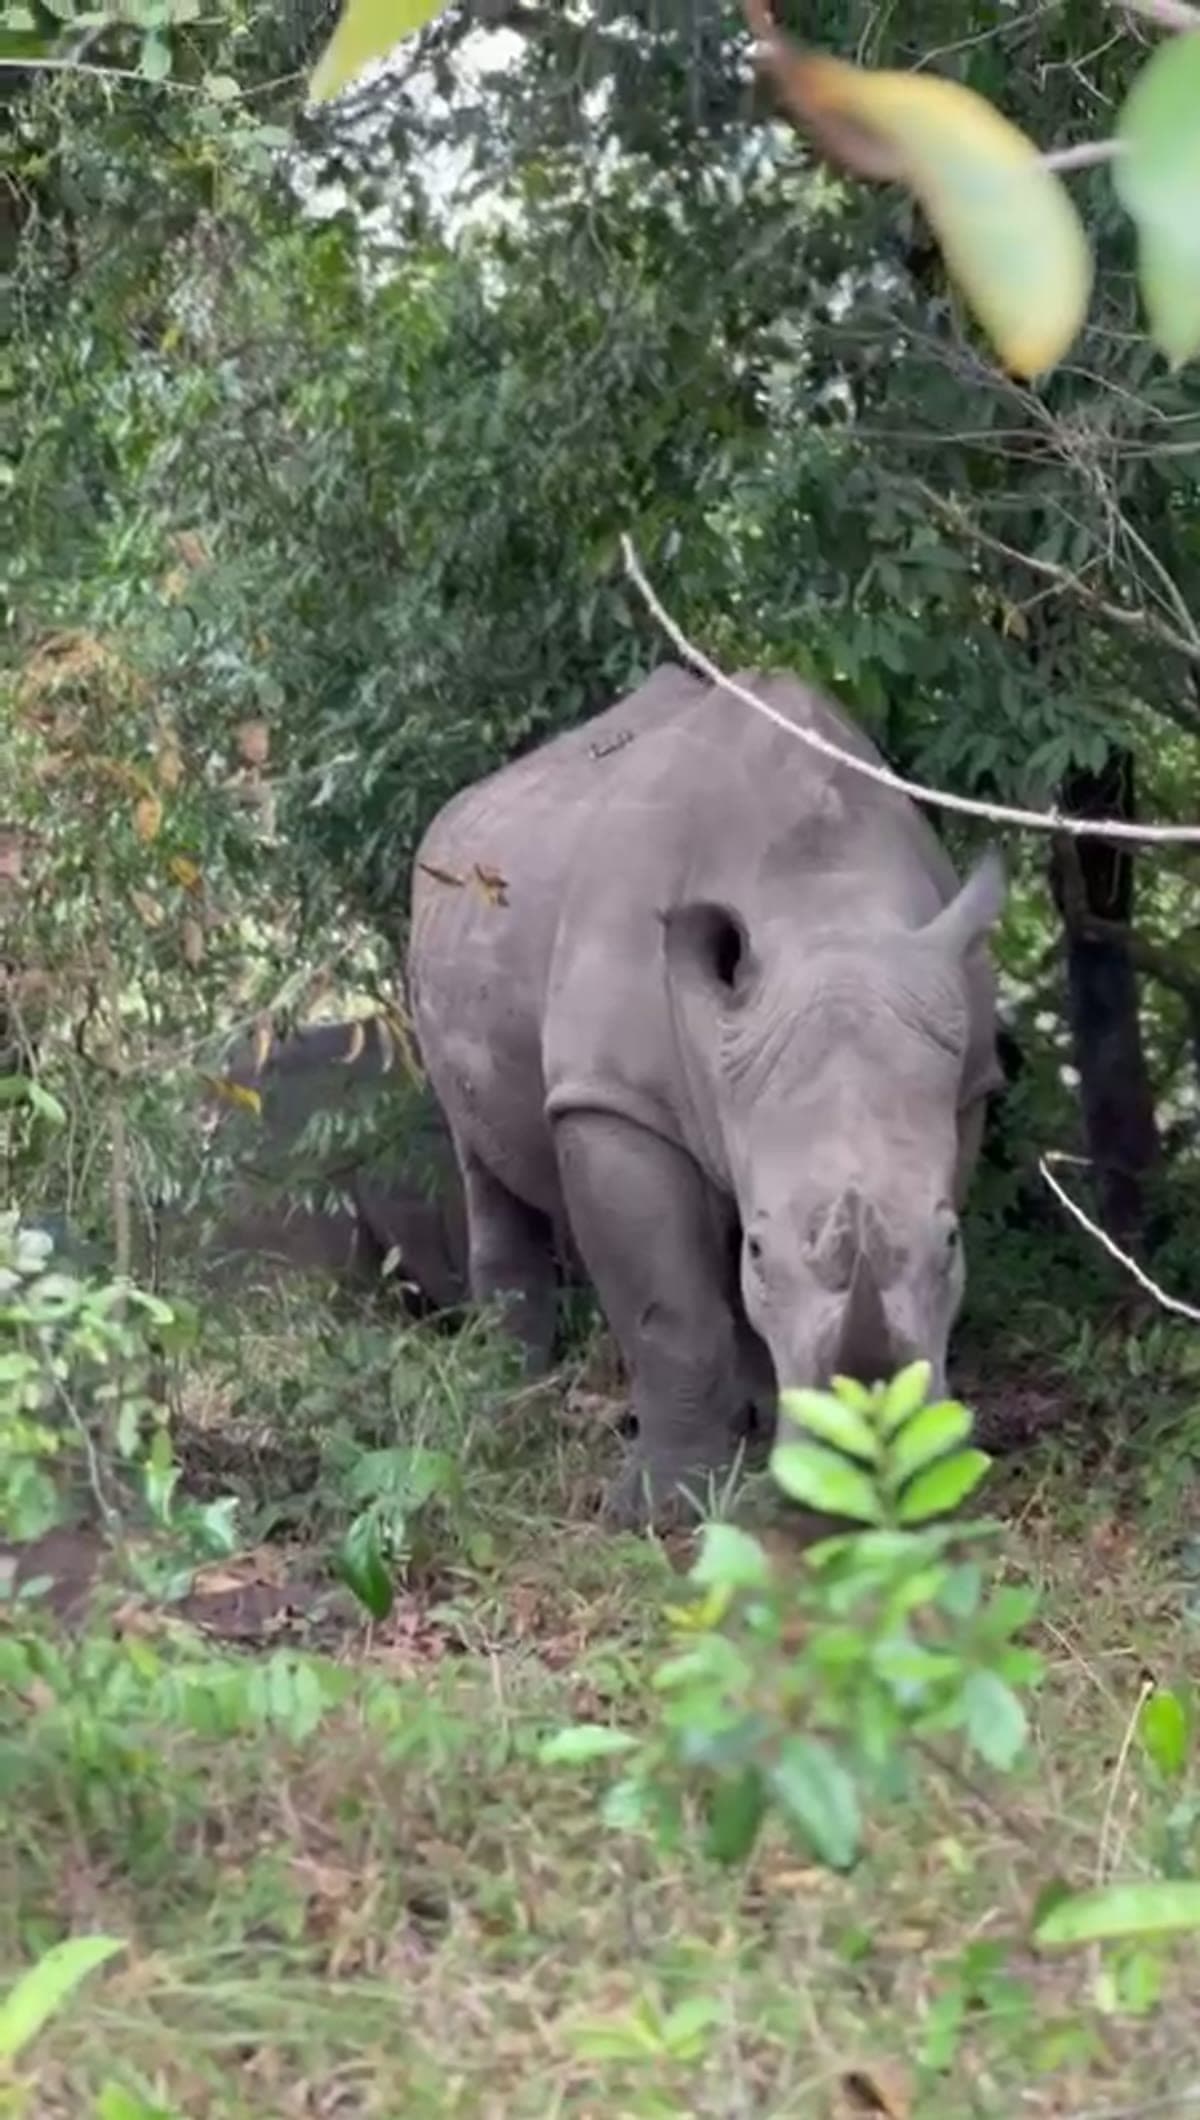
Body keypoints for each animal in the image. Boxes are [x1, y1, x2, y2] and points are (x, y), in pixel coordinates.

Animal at [408, 663, 1006, 1525]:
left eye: (953, 1241)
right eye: (762, 1249)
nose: (862, 1467)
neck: (823, 903)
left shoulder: (963, 1079)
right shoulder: (616, 1099)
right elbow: (667, 1308)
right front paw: (660, 1511)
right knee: (482, 1162)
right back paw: (512, 1399)